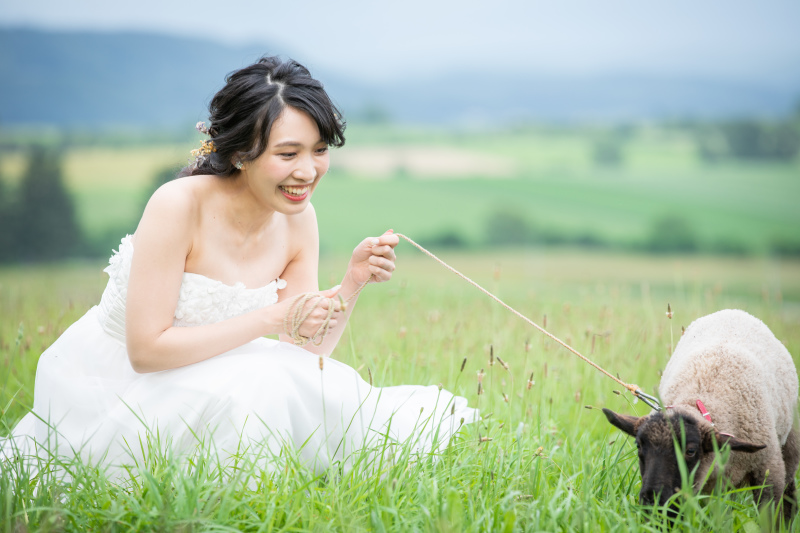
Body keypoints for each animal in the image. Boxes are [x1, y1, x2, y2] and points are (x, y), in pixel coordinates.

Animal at [604, 308, 796, 520]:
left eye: (690, 451)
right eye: (638, 445)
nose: (653, 502)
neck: (697, 399)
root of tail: (733, 311)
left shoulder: (769, 470)